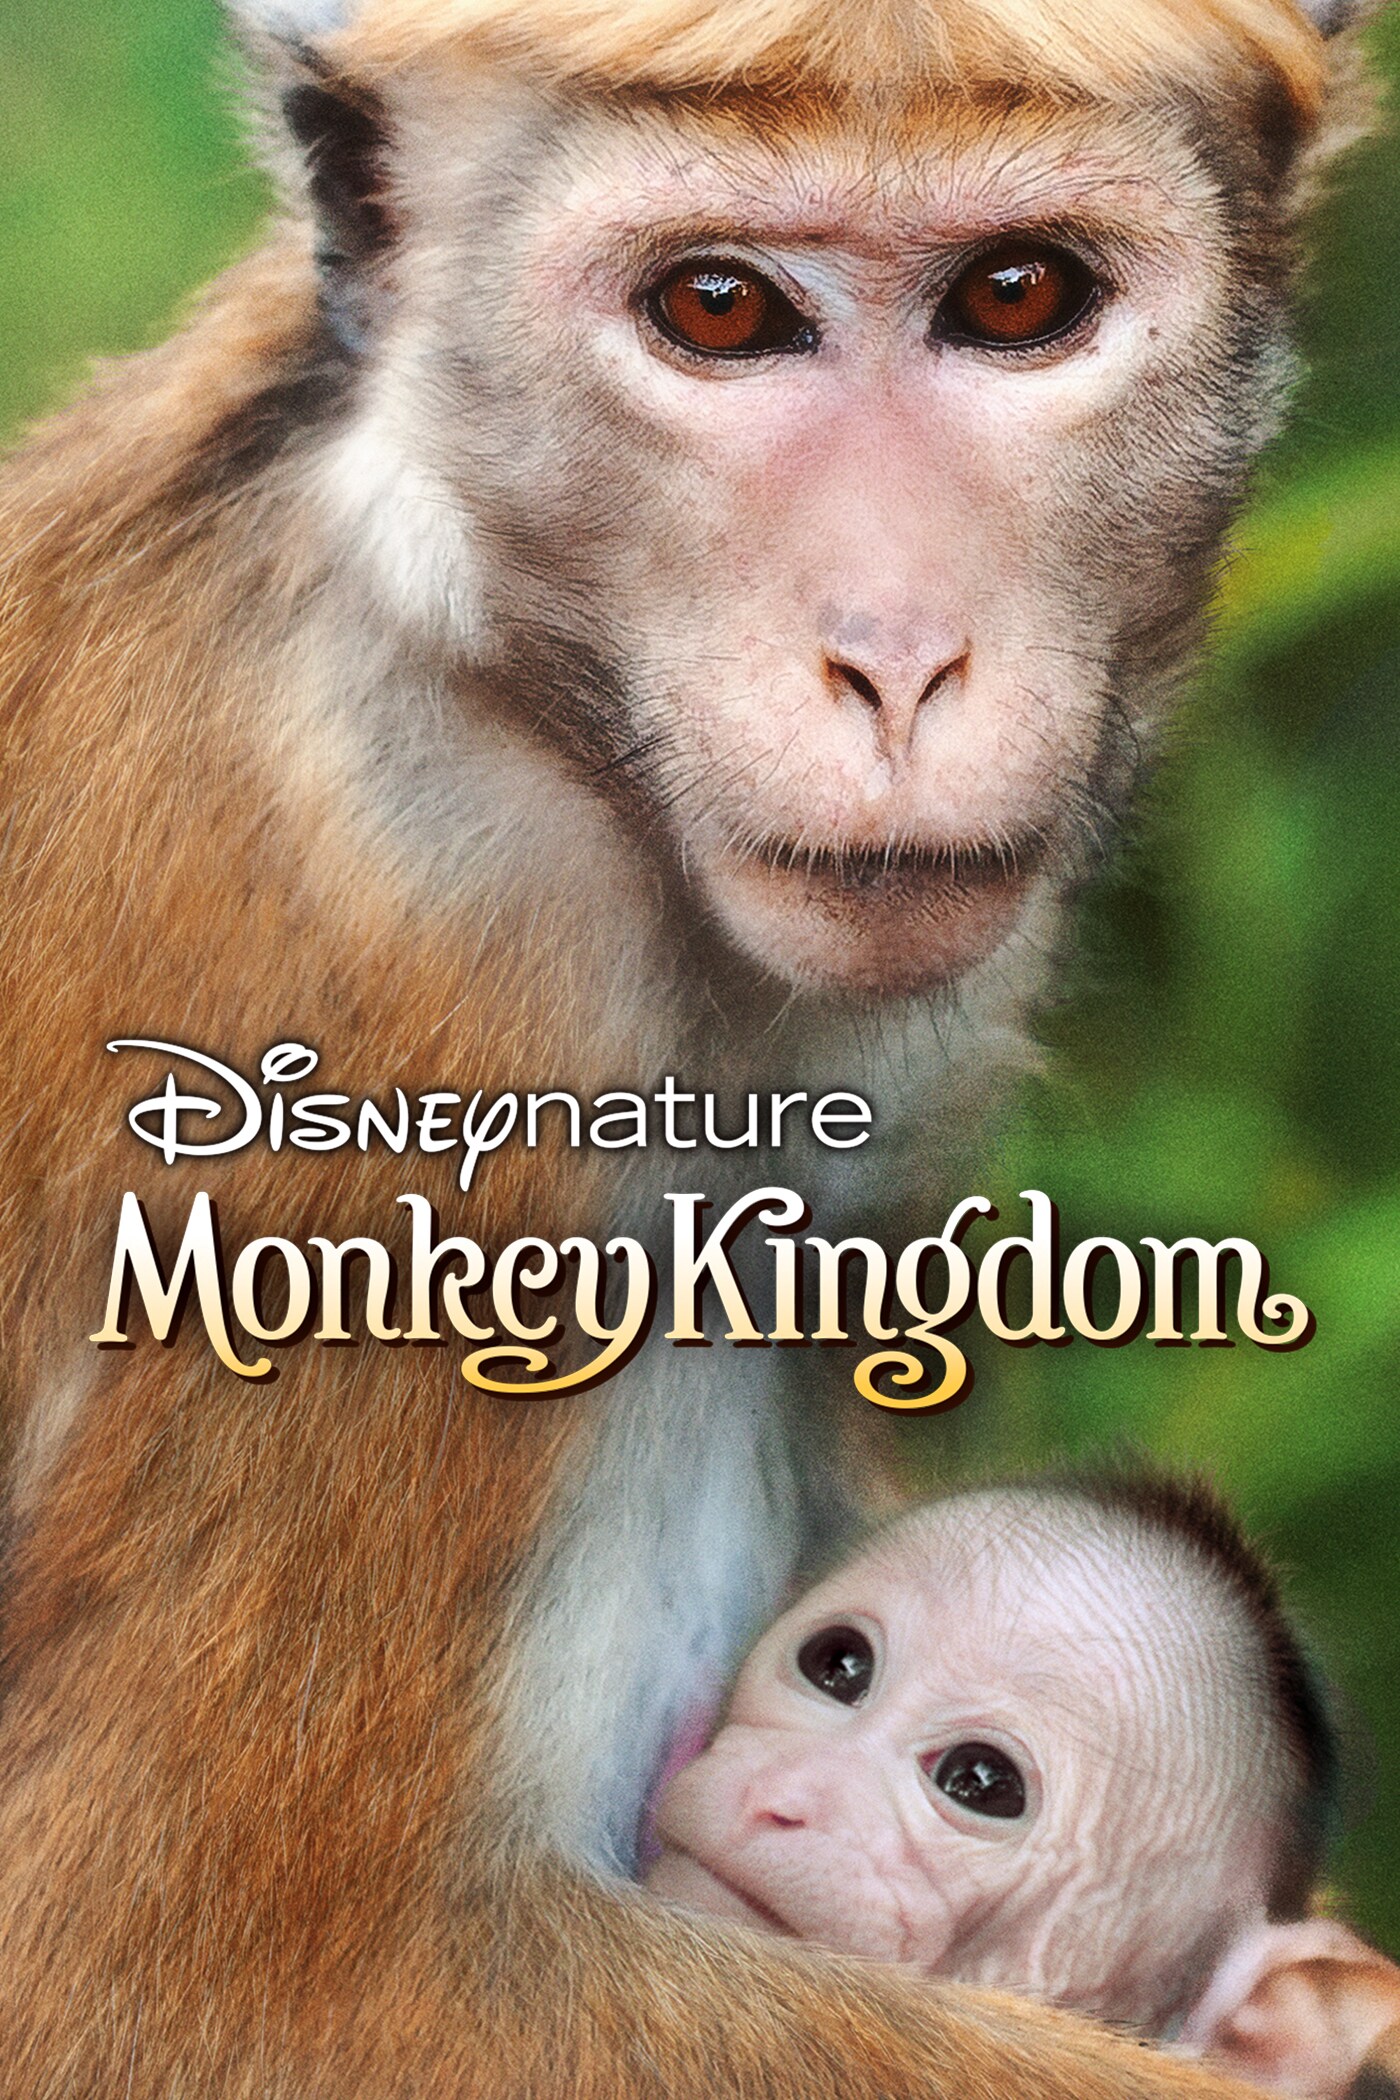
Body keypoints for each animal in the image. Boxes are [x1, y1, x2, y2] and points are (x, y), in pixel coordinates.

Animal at [0, 0, 1380, 2091]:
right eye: (718, 310)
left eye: (1021, 296)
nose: (897, 659)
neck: (489, 650)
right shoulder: (405, 1012)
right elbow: (176, 1983)